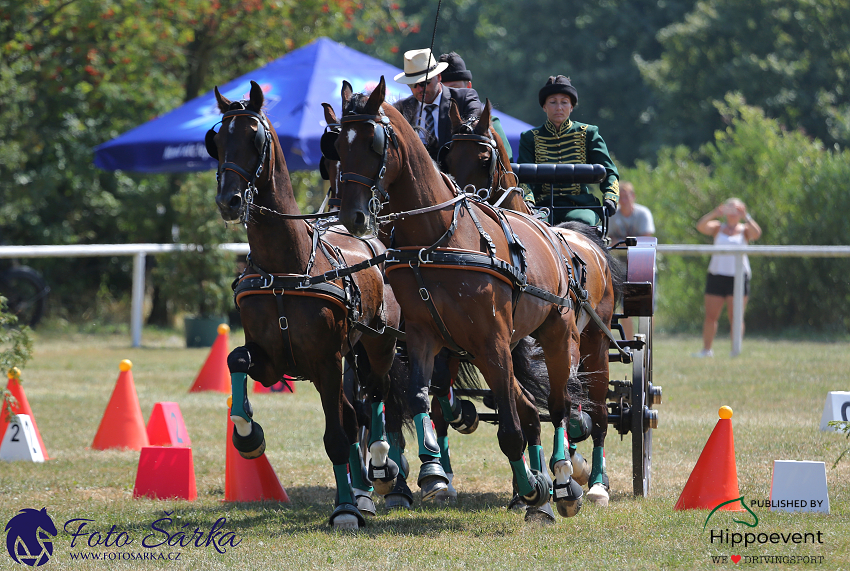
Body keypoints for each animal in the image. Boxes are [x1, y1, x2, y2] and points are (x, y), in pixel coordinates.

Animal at [205, 80, 408, 532]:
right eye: (218, 141)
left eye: (254, 138)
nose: (229, 200)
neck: (288, 268)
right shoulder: (272, 361)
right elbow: (235, 360)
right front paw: (247, 435)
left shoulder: (328, 363)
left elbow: (337, 438)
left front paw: (346, 509)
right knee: (354, 413)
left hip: (377, 345)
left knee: (376, 397)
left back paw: (381, 466)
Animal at [328, 76, 592, 524]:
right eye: (338, 147)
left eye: (375, 143)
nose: (352, 216)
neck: (440, 236)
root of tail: (553, 234)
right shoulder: (424, 336)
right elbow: (420, 396)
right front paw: (432, 471)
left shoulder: (493, 341)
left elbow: (509, 429)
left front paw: (532, 487)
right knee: (527, 406)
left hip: (555, 335)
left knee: (557, 407)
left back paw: (560, 482)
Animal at [440, 97, 628, 504]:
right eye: (446, 157)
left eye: (485, 159)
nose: (463, 202)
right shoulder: (491, 341)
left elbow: (559, 404)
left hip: (596, 343)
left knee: (601, 412)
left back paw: (597, 482)